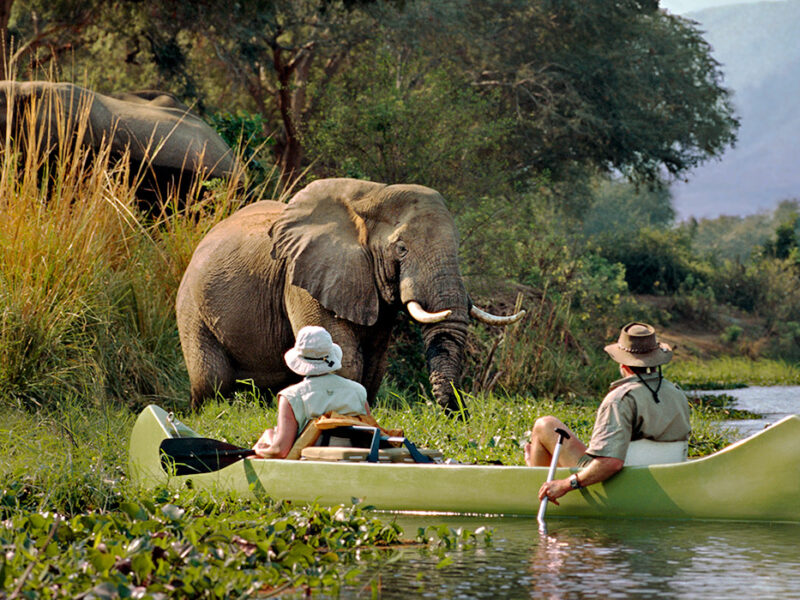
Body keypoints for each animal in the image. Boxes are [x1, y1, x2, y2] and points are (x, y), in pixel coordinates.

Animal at [176, 178, 525, 413]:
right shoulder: (303, 277)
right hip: (191, 307)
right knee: (212, 380)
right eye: (401, 249)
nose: (457, 414)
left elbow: (373, 364)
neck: (372, 195)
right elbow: (345, 357)